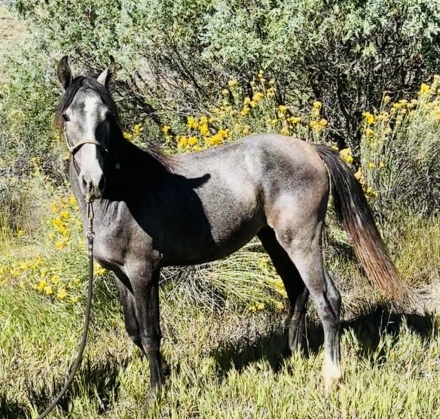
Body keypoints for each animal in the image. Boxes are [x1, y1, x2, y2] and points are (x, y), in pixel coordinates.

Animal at [55, 55, 410, 400]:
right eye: (68, 117)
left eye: (107, 116)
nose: (93, 181)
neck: (123, 194)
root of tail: (311, 149)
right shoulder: (121, 275)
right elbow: (134, 332)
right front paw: (165, 377)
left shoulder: (144, 271)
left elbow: (150, 332)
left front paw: (156, 393)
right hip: (274, 240)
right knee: (297, 292)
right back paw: (290, 357)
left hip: (302, 241)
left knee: (327, 300)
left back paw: (331, 379)